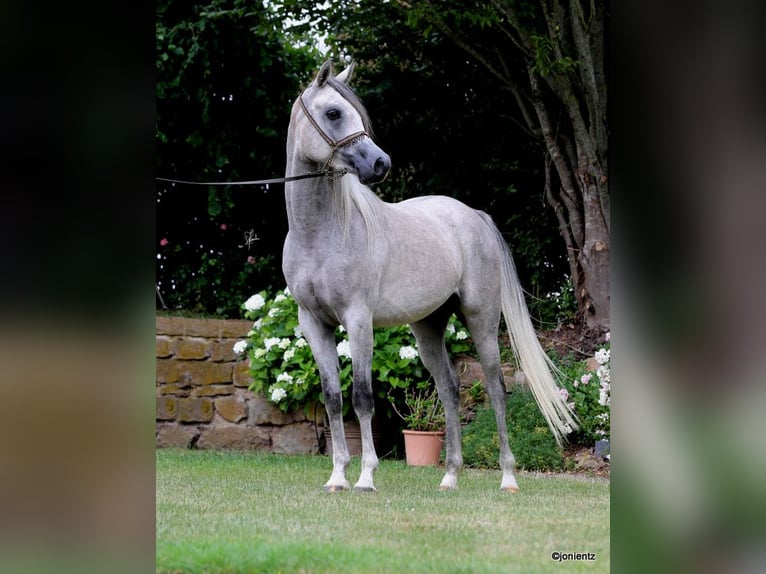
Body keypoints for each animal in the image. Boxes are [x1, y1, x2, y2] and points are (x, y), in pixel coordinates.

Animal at [282, 60, 577, 492]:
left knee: (497, 389)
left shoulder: (358, 320)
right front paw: (337, 476)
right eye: (333, 113)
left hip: (482, 321)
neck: (320, 233)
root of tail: (473, 215)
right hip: (429, 327)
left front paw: (366, 477)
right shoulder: (314, 323)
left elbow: (362, 398)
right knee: (450, 389)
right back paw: (450, 477)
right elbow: (333, 399)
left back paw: (507, 478)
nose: (381, 164)